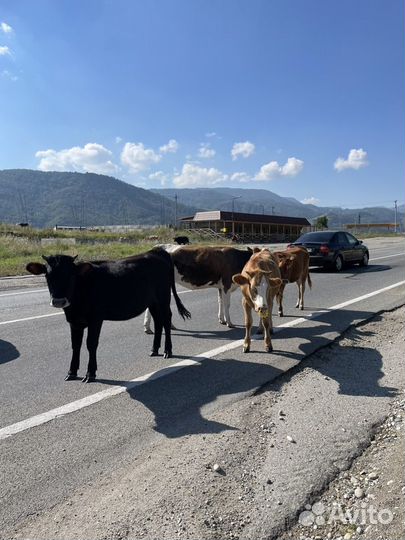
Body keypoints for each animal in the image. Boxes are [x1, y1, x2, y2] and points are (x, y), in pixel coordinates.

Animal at [26, 250, 191, 384]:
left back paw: (167, 351)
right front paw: (71, 372)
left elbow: (91, 344)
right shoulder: (74, 321)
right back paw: (154, 349)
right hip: (152, 301)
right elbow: (75, 345)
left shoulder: (96, 319)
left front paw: (90, 374)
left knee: (167, 320)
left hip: (163, 297)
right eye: (47, 275)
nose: (58, 301)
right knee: (158, 321)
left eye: (71, 275)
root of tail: (157, 251)